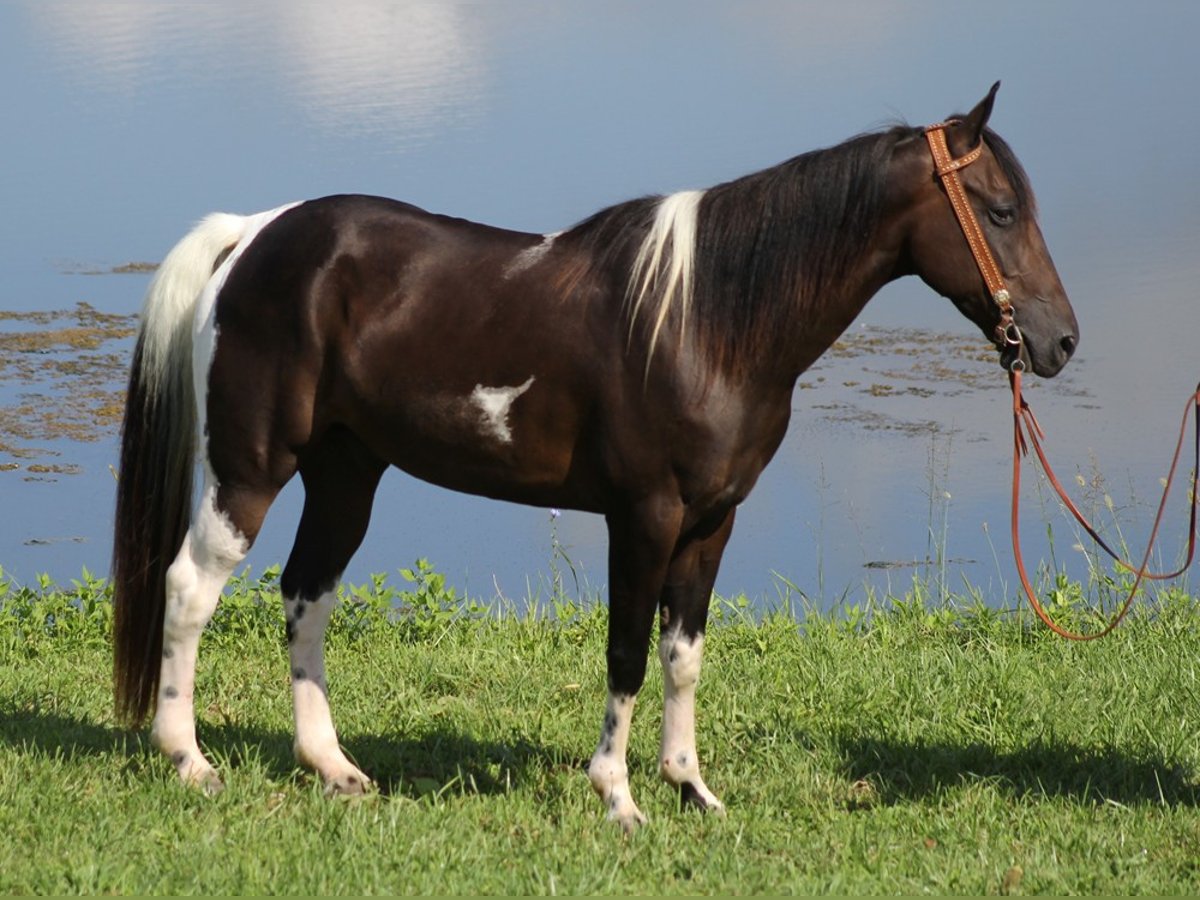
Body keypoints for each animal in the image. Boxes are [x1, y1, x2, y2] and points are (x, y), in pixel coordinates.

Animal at [112, 84, 1084, 830]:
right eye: (1000, 211)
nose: (1060, 341)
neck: (708, 320)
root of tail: (253, 235)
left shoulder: (712, 522)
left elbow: (683, 653)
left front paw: (692, 788)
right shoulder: (643, 516)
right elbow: (624, 652)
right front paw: (618, 797)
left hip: (346, 476)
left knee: (305, 597)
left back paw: (335, 768)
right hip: (250, 469)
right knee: (189, 588)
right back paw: (190, 760)